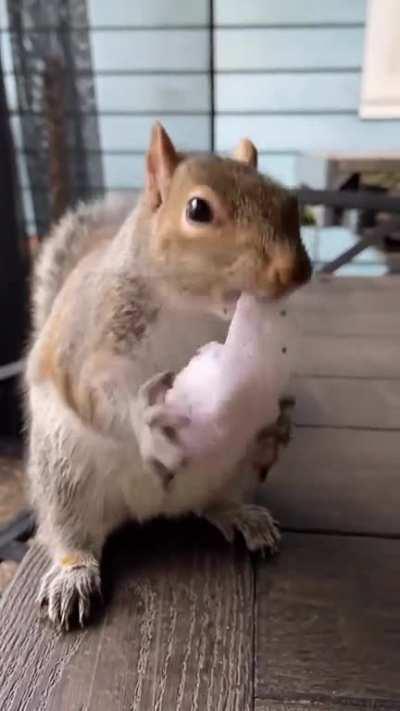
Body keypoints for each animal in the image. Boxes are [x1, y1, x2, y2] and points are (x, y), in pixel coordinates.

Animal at [25, 122, 312, 630]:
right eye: (198, 209)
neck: (190, 308)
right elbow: (91, 391)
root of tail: (154, 507)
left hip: (232, 471)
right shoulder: (87, 339)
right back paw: (73, 574)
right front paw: (147, 424)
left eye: (289, 201)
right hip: (63, 473)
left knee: (216, 501)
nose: (295, 271)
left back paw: (245, 509)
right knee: (70, 533)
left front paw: (279, 421)